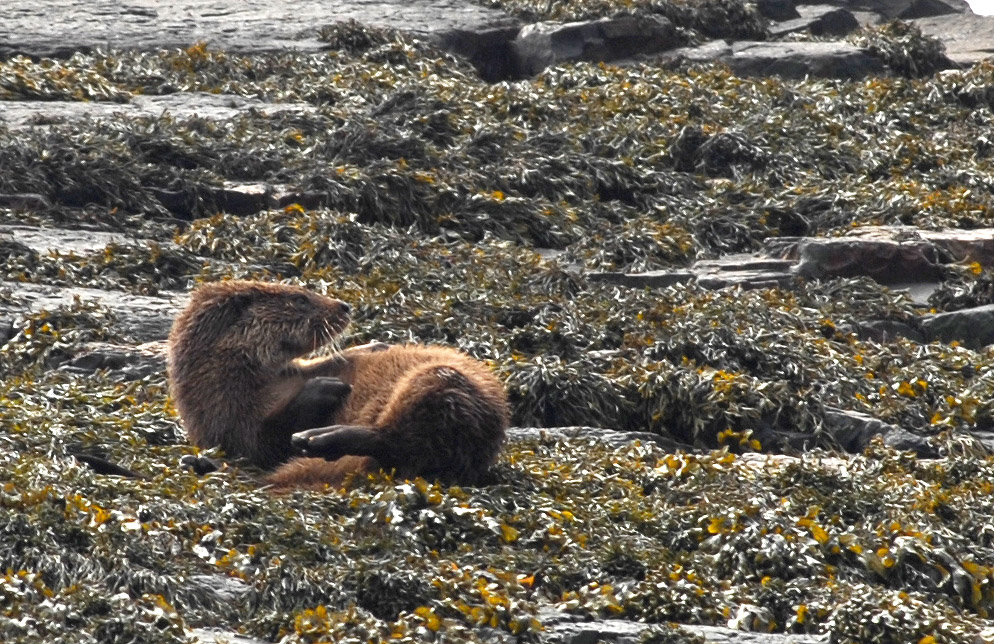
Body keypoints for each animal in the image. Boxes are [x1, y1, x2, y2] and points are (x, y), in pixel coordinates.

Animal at [167, 280, 508, 488]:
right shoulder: (234, 423)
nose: (344, 306)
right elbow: (266, 439)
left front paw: (375, 346)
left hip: (436, 382)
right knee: (397, 442)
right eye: (300, 299)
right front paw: (323, 387)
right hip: (442, 384)